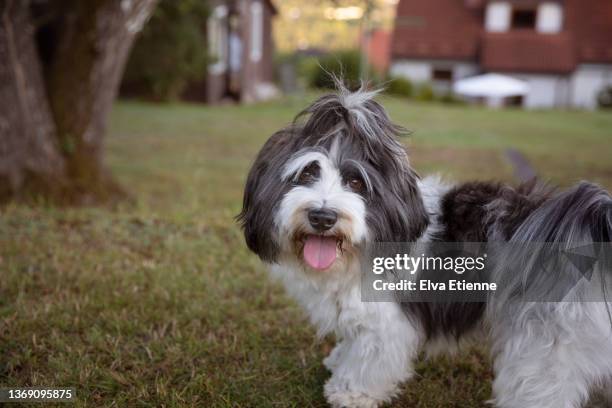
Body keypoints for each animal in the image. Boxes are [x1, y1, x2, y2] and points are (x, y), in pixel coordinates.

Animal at [235, 83, 612, 408]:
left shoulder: (386, 323)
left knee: (543, 383)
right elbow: (352, 340)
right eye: (307, 174)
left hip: (550, 340)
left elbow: (370, 358)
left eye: (356, 182)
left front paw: (350, 391)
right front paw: (339, 360)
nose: (323, 216)